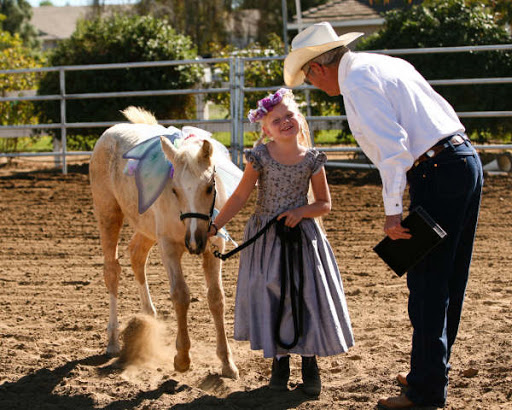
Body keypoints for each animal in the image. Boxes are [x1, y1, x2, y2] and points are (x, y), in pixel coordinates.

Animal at [89, 106, 239, 379]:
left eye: (209, 187)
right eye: (175, 189)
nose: (194, 241)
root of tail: (109, 133)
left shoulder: (213, 247)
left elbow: (216, 298)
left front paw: (226, 362)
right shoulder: (168, 247)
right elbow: (180, 295)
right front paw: (182, 357)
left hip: (147, 230)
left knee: (136, 255)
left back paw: (150, 318)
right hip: (108, 215)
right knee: (112, 270)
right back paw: (113, 340)